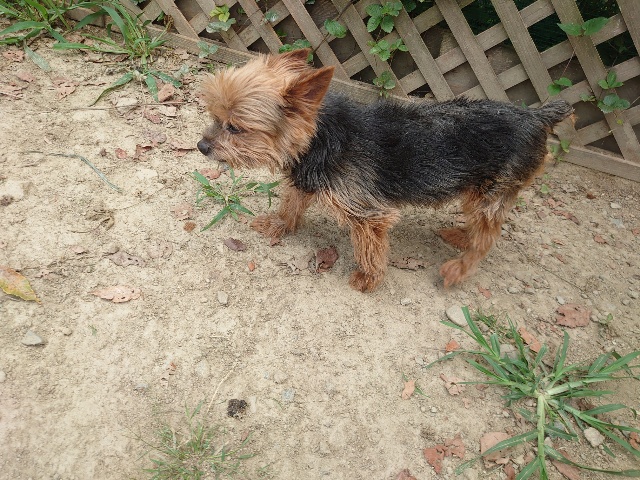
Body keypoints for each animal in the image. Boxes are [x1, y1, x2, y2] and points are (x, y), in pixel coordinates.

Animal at [197, 49, 573, 292]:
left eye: (236, 128)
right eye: (215, 116)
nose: (201, 146)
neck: (320, 137)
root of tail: (536, 115)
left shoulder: (367, 213)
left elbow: (369, 247)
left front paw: (368, 279)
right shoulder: (307, 178)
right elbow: (292, 202)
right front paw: (278, 225)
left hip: (492, 191)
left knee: (487, 239)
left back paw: (459, 267)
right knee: (481, 229)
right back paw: (461, 236)